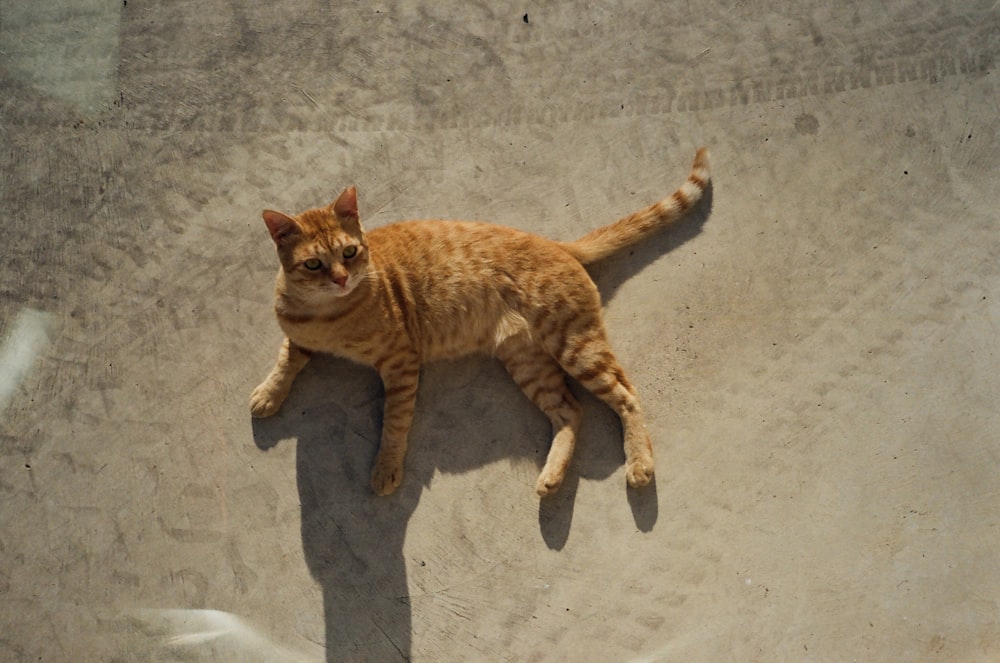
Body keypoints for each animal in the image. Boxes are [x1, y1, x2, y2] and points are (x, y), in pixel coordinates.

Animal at [254, 148, 716, 496]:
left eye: (349, 253)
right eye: (314, 263)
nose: (340, 278)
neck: (325, 315)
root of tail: (556, 243)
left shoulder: (400, 363)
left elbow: (394, 423)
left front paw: (386, 467)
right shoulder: (297, 336)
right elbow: (285, 359)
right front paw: (268, 394)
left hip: (574, 347)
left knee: (625, 393)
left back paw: (639, 464)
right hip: (528, 362)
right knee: (570, 410)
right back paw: (551, 478)